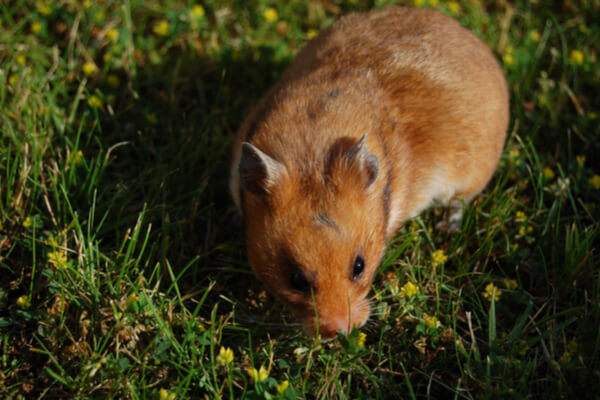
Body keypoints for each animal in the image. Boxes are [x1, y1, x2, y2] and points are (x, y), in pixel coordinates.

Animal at [229, 7, 506, 338]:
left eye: (359, 267)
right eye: (296, 280)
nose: (341, 331)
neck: (312, 152)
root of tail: (474, 41)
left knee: (460, 202)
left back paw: (446, 227)